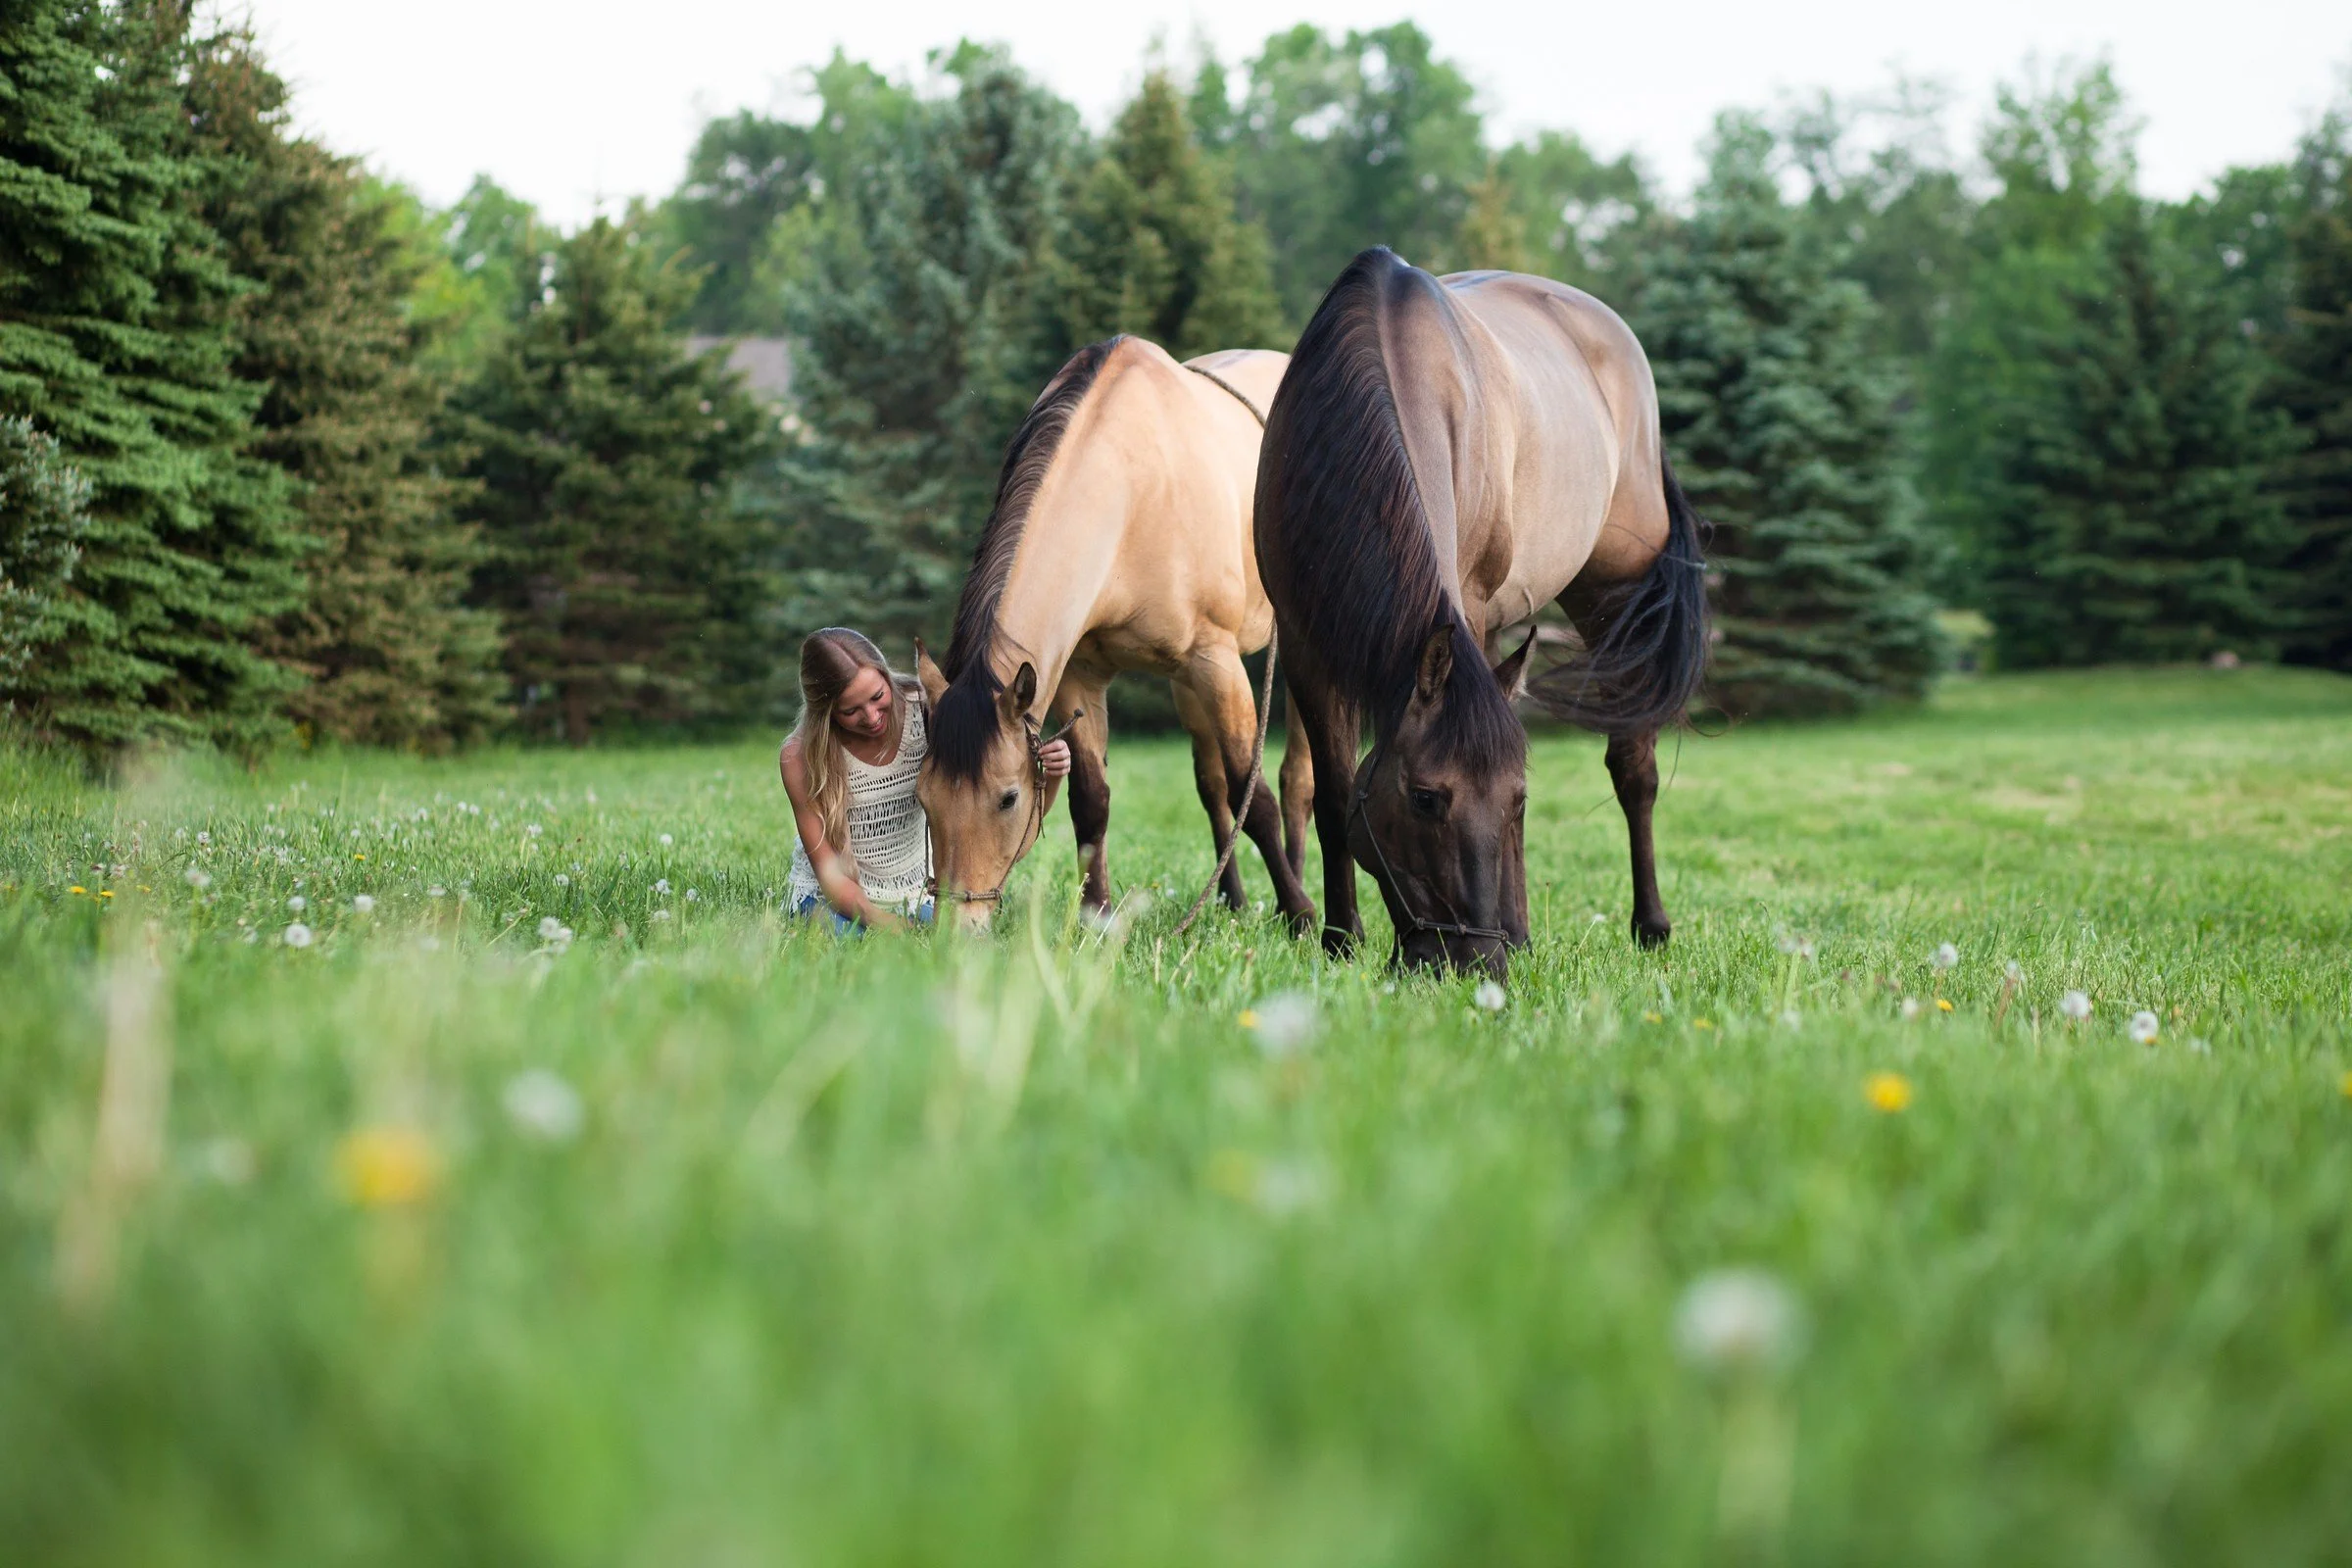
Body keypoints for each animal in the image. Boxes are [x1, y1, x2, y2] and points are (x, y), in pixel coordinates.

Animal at [915, 335, 1317, 932]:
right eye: (923, 797)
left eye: (1008, 798)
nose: (955, 931)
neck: (1135, 489)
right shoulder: (1080, 673)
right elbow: (1092, 800)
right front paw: (1096, 917)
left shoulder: (1217, 661)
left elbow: (1257, 795)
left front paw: (1301, 915)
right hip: (1184, 683)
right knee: (1213, 786)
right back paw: (1234, 900)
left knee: (1294, 781)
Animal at [1255, 247, 1710, 978]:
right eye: (1425, 798)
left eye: (1516, 798)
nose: (1474, 964)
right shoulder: (1304, 642)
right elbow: (1330, 792)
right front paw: (1339, 939)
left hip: (1611, 600)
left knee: (1633, 768)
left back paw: (1648, 925)